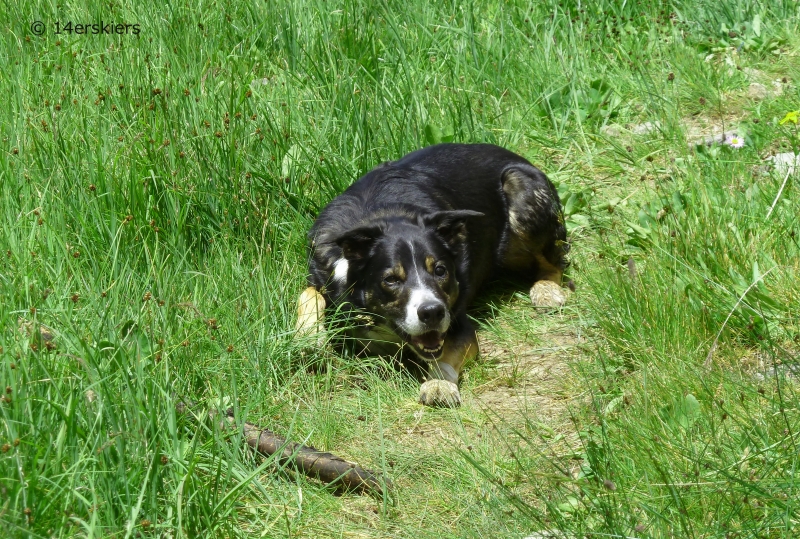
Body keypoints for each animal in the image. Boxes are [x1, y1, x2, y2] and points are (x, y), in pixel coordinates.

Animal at [296, 143, 568, 404]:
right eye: (390, 279)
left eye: (440, 271)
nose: (432, 313)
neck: (384, 214)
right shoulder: (322, 272)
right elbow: (308, 294)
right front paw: (308, 337)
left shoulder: (458, 323)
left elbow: (447, 353)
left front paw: (439, 384)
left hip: (522, 195)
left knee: (554, 262)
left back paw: (547, 291)